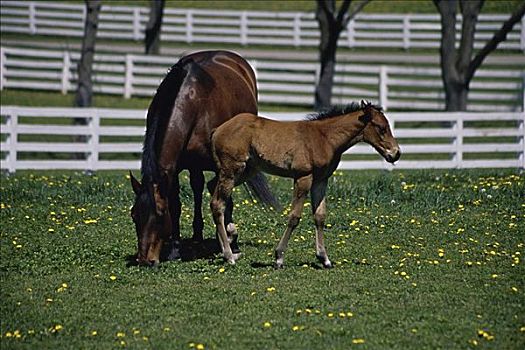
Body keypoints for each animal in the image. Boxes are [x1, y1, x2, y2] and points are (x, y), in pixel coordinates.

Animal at [211, 101, 400, 268]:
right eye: (381, 128)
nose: (396, 153)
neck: (325, 138)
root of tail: (217, 130)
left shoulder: (321, 180)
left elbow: (320, 216)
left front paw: (324, 258)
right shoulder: (303, 177)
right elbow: (294, 217)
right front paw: (279, 257)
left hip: (245, 171)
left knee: (213, 192)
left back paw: (226, 244)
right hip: (232, 170)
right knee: (218, 203)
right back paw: (229, 255)